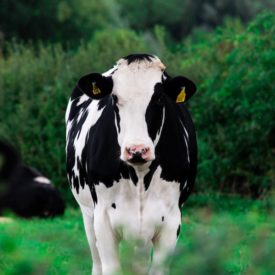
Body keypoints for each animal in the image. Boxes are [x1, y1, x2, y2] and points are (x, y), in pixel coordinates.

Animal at [66, 52, 197, 274]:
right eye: (115, 98)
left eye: (159, 98)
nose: (137, 150)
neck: (140, 176)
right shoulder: (102, 218)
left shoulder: (171, 220)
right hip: (87, 213)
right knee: (97, 261)